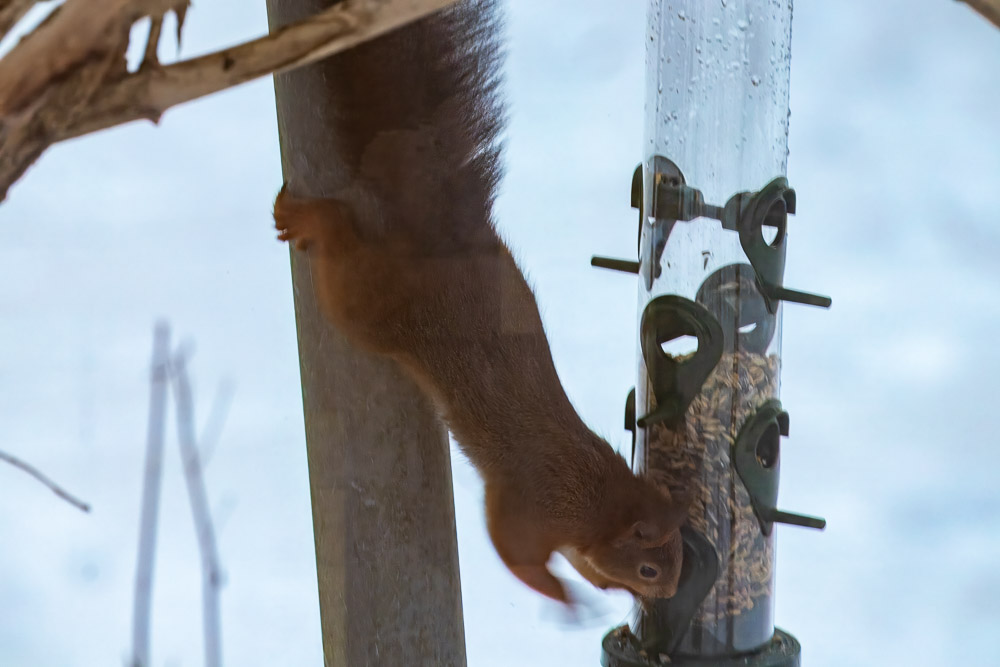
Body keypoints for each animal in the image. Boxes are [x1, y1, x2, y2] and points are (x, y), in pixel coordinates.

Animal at [272, 0, 688, 604]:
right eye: (650, 569)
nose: (668, 595)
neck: (593, 489)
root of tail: (440, 237)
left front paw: (594, 584)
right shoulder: (530, 501)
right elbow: (513, 550)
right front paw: (564, 597)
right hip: (368, 301)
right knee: (339, 250)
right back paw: (307, 219)